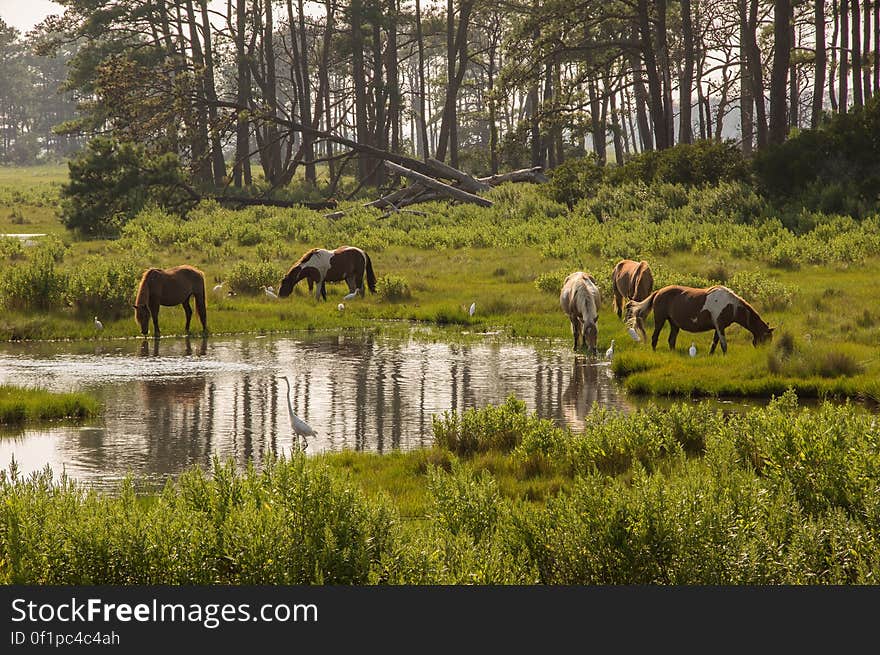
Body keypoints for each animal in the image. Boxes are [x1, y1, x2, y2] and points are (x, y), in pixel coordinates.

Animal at [624, 282, 768, 354]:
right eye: (766, 338)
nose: (763, 353)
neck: (731, 306)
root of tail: (658, 292)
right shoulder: (720, 326)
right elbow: (723, 344)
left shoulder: (718, 327)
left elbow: (714, 343)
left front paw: (711, 355)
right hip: (660, 320)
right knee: (655, 337)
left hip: (674, 324)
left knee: (671, 340)